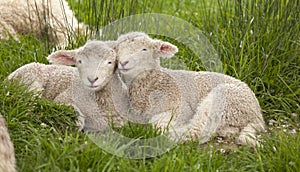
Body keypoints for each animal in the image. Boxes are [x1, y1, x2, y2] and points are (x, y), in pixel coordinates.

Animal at [115, 31, 264, 145]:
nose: (123, 62)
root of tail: (258, 115)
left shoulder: (180, 108)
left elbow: (157, 124)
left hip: (224, 100)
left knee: (197, 129)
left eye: (144, 49)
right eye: (118, 49)